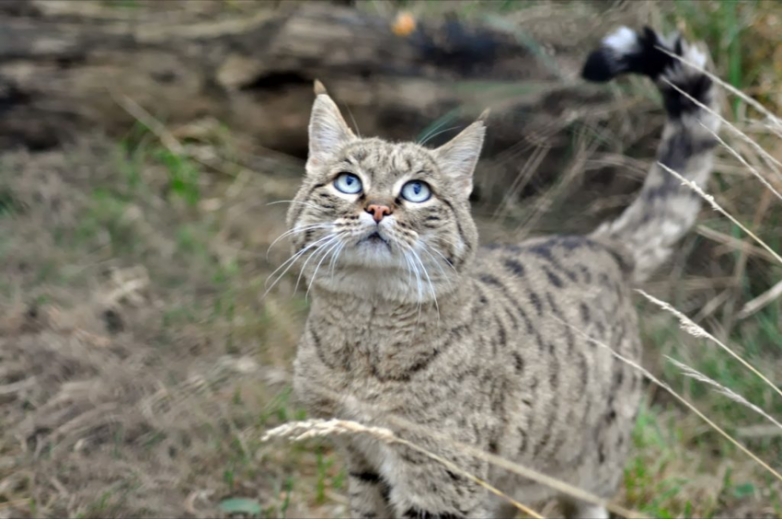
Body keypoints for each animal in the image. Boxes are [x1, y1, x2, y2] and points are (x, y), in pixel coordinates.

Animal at [286, 26, 724, 516]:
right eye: (348, 182)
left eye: (417, 191)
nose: (378, 208)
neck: (367, 334)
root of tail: (599, 243)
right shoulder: (361, 457)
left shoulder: (441, 476)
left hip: (594, 462)